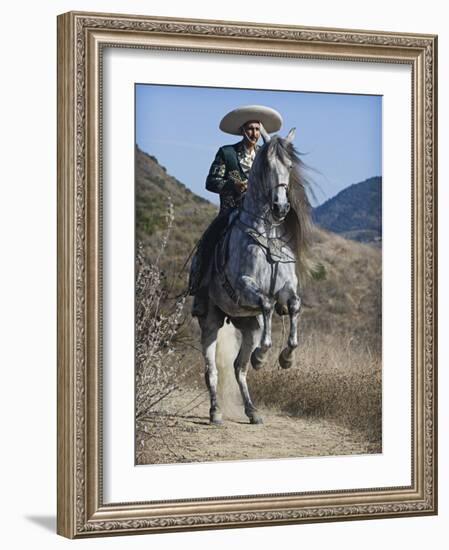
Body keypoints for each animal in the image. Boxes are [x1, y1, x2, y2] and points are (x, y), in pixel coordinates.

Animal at [192, 128, 312, 426]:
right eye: (267, 166)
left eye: (290, 166)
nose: (281, 208)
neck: (266, 234)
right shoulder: (244, 286)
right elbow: (267, 304)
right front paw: (262, 356)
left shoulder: (287, 289)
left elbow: (294, 307)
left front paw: (286, 358)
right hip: (210, 321)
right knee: (211, 370)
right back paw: (216, 413)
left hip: (248, 325)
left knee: (239, 368)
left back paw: (252, 411)